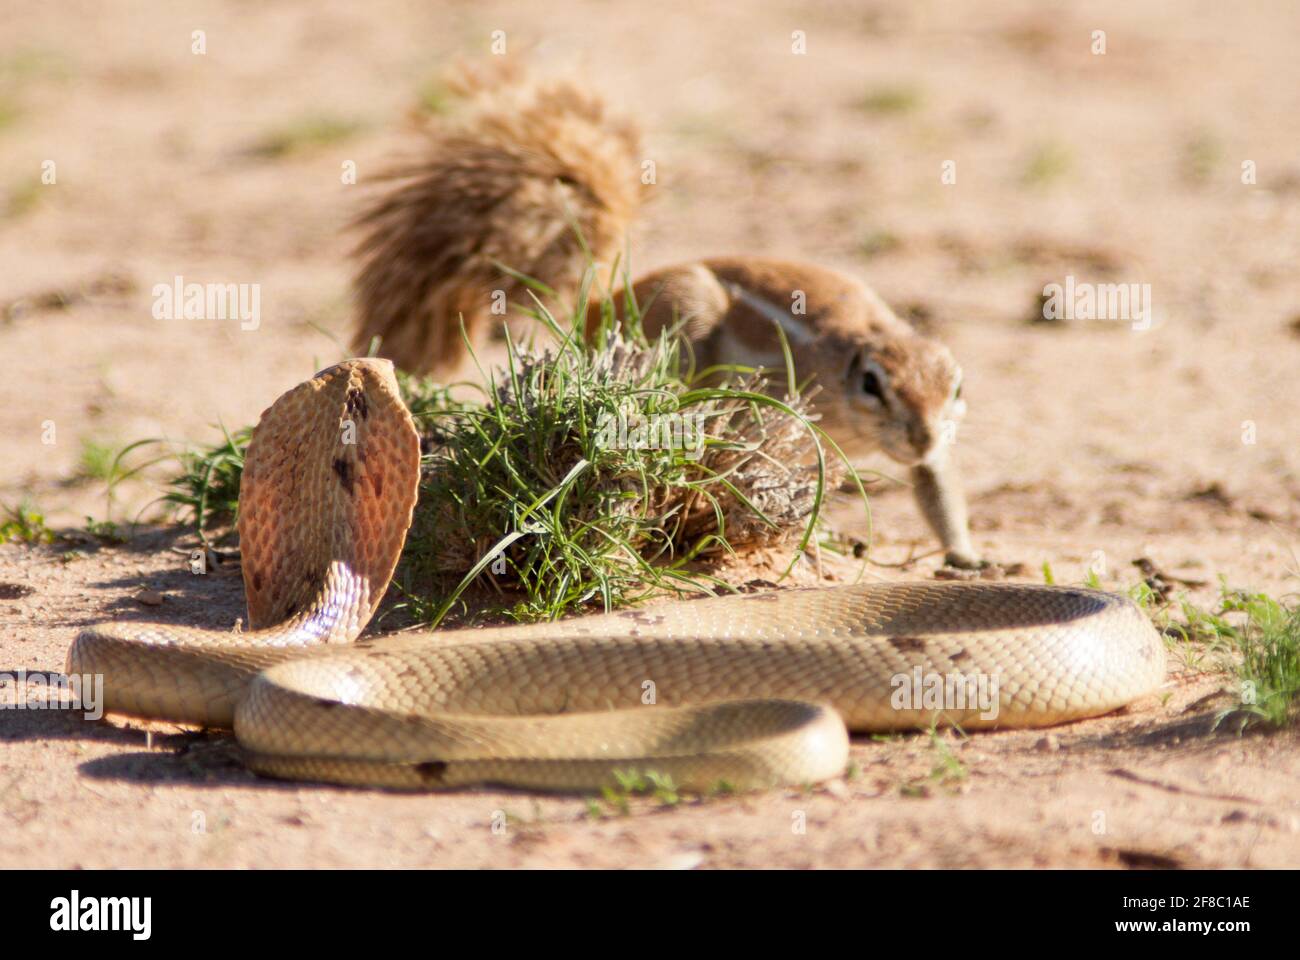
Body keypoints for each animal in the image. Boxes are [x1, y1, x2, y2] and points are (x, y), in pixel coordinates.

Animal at [351, 66, 981, 568]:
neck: (859, 346)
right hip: (688, 315)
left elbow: (937, 487)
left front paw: (966, 556)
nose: (923, 435)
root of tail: (602, 302)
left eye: (956, 389)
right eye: (874, 385)